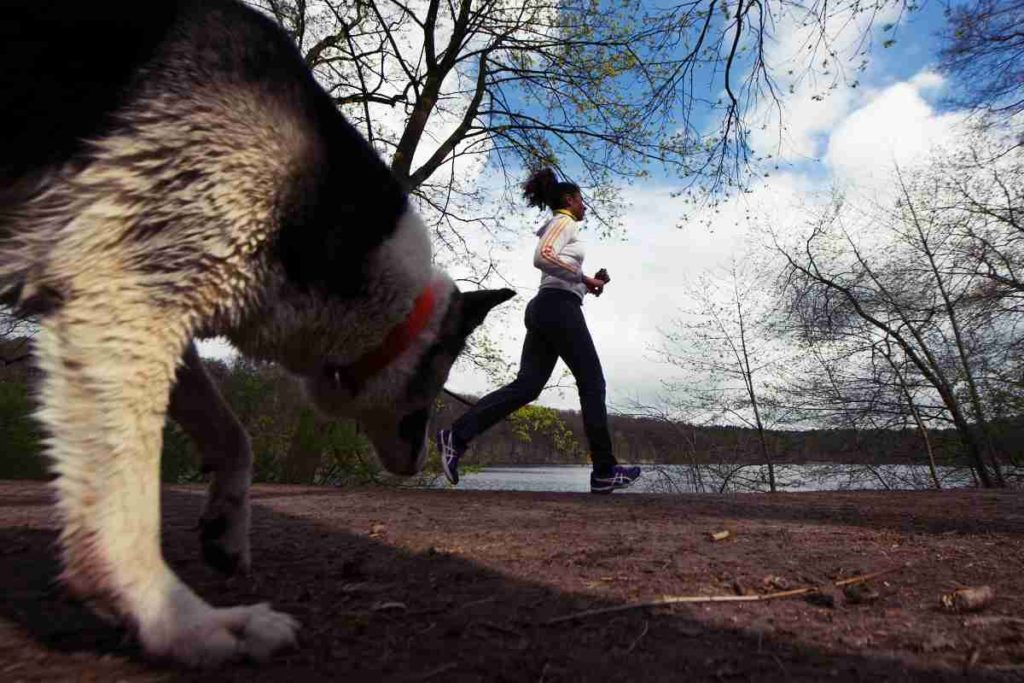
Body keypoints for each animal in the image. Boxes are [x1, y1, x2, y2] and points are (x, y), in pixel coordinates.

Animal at [0, 0, 512, 663]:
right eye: (438, 382)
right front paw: (180, 621)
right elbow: (120, 512)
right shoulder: (118, 303)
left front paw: (225, 531)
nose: (425, 461)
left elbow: (232, 433)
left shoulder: (159, 312)